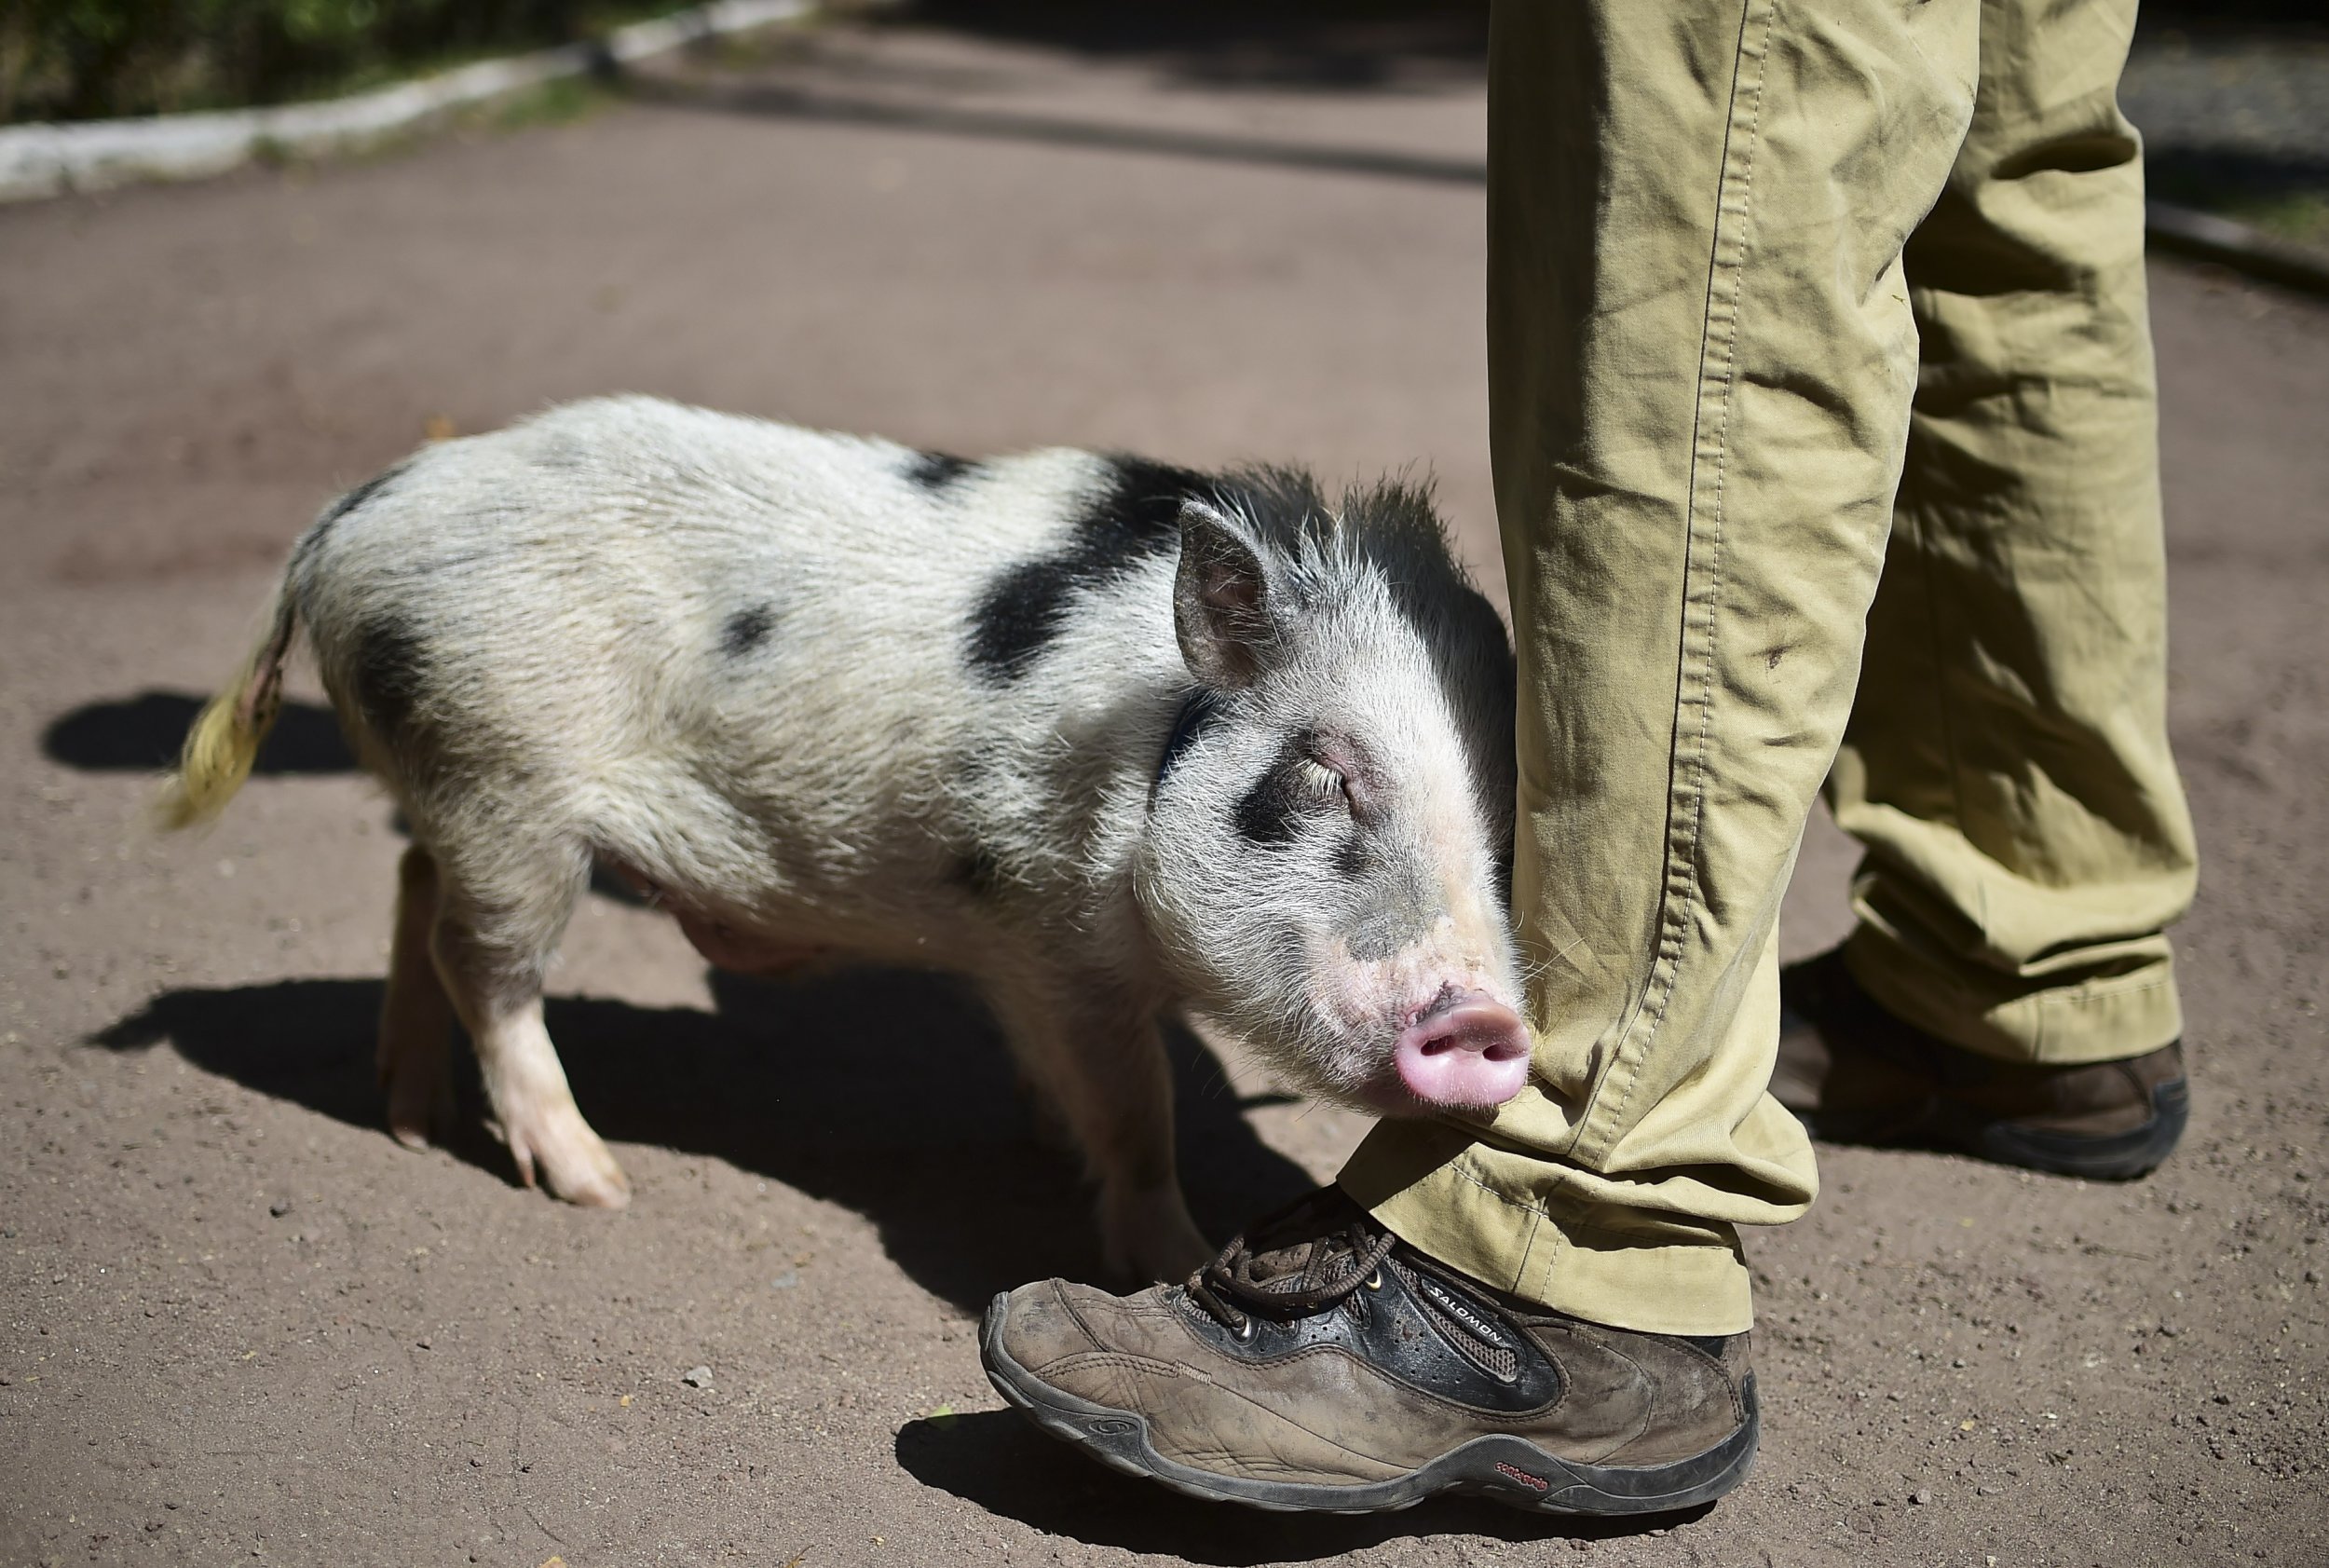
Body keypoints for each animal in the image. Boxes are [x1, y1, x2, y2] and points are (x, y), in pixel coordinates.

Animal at [172, 393, 1537, 1286]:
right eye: (1325, 769)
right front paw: (1172, 1260)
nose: (1489, 1021)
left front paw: (1045, 1132)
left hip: (454, 783)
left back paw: (412, 1117)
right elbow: (1137, 1112)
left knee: (414, 884)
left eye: (1509, 816)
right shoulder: (1050, 926)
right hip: (503, 784)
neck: (1147, 739)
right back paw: (594, 1180)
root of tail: (345, 522)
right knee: (486, 965)